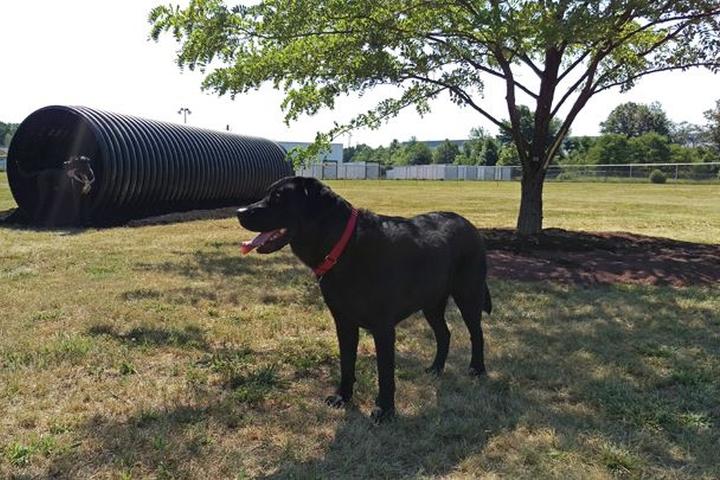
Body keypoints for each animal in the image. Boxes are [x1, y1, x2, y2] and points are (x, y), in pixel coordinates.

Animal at [239, 175, 492, 420]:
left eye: (278, 197)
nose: (240, 211)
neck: (343, 247)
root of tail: (470, 226)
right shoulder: (343, 322)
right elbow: (347, 363)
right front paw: (343, 397)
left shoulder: (383, 327)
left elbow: (385, 373)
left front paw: (385, 411)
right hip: (431, 301)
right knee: (444, 333)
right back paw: (436, 368)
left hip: (468, 294)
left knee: (476, 333)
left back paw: (477, 369)